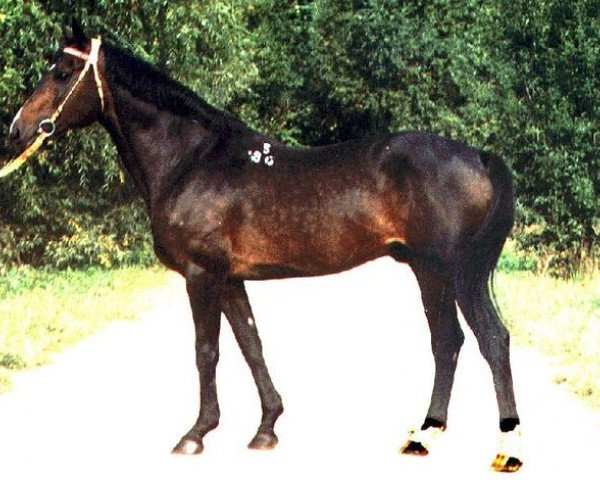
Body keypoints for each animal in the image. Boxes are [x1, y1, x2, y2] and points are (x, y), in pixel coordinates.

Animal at [3, 21, 520, 472]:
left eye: (62, 72)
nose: (18, 129)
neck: (193, 161)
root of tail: (479, 157)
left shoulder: (202, 275)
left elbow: (207, 350)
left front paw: (195, 434)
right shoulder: (231, 279)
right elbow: (251, 344)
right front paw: (267, 428)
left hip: (456, 273)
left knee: (489, 340)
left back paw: (506, 449)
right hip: (429, 271)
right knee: (448, 342)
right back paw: (423, 435)